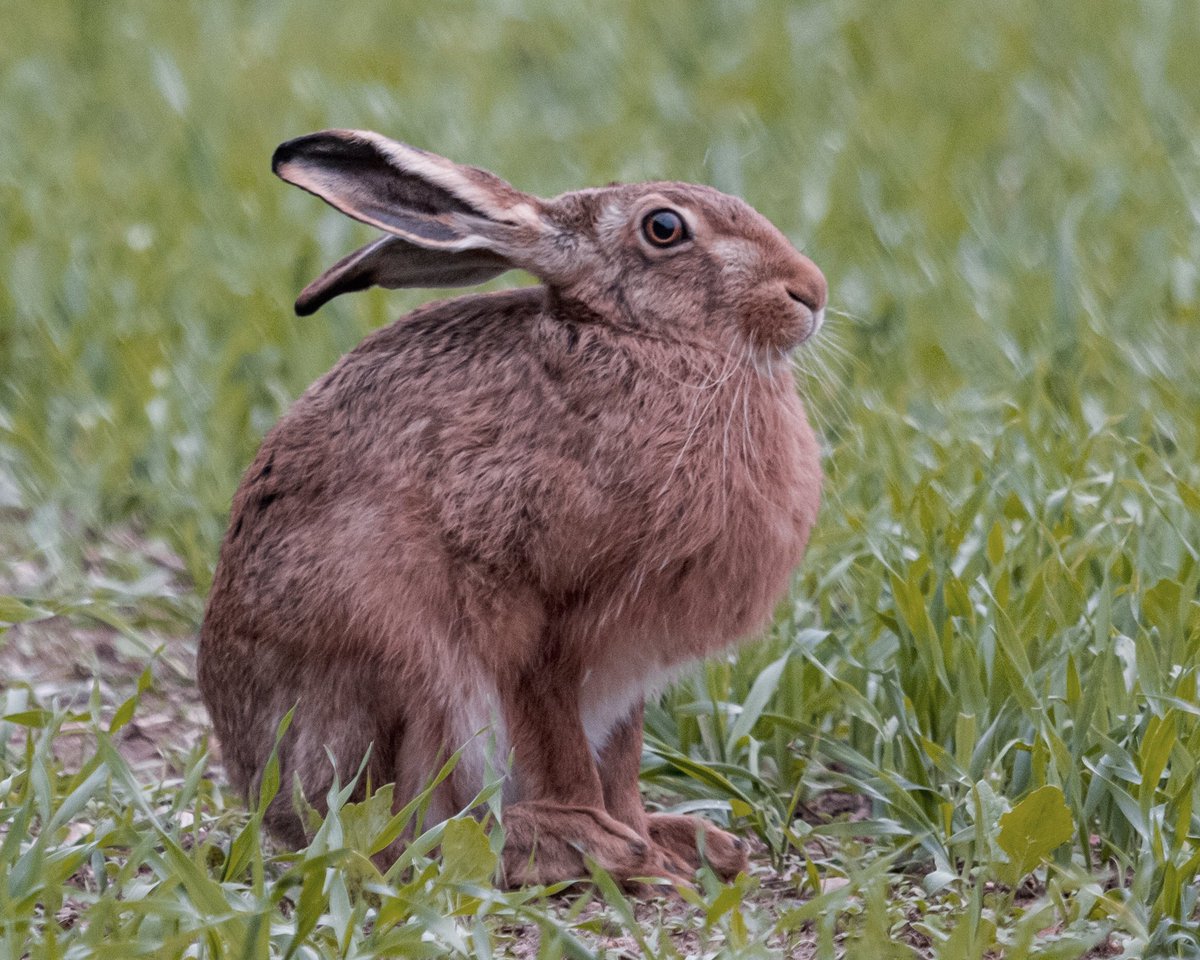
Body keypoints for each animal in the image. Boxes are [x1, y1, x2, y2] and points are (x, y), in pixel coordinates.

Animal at [198, 129, 826, 888]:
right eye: (664, 228)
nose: (810, 292)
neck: (644, 341)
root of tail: (271, 801)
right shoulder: (539, 620)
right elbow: (563, 751)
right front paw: (628, 849)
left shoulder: (626, 674)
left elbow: (619, 764)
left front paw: (650, 841)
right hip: (400, 666)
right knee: (398, 837)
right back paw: (576, 842)